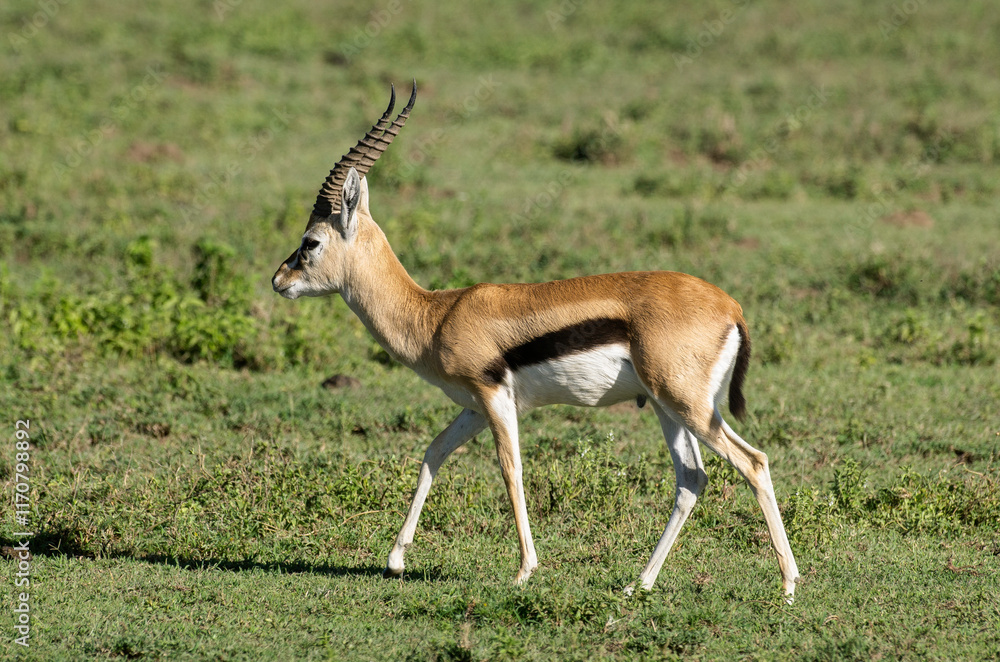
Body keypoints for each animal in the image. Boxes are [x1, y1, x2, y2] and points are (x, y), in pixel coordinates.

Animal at [271, 82, 800, 600]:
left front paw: (525, 571)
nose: (279, 280)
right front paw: (396, 560)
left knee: (754, 462)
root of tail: (730, 306)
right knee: (691, 479)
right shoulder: (473, 406)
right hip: (667, 406)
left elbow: (511, 471)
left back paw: (788, 585)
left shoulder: (495, 398)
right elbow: (433, 454)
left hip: (687, 404)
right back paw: (639, 584)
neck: (436, 315)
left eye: (311, 242)